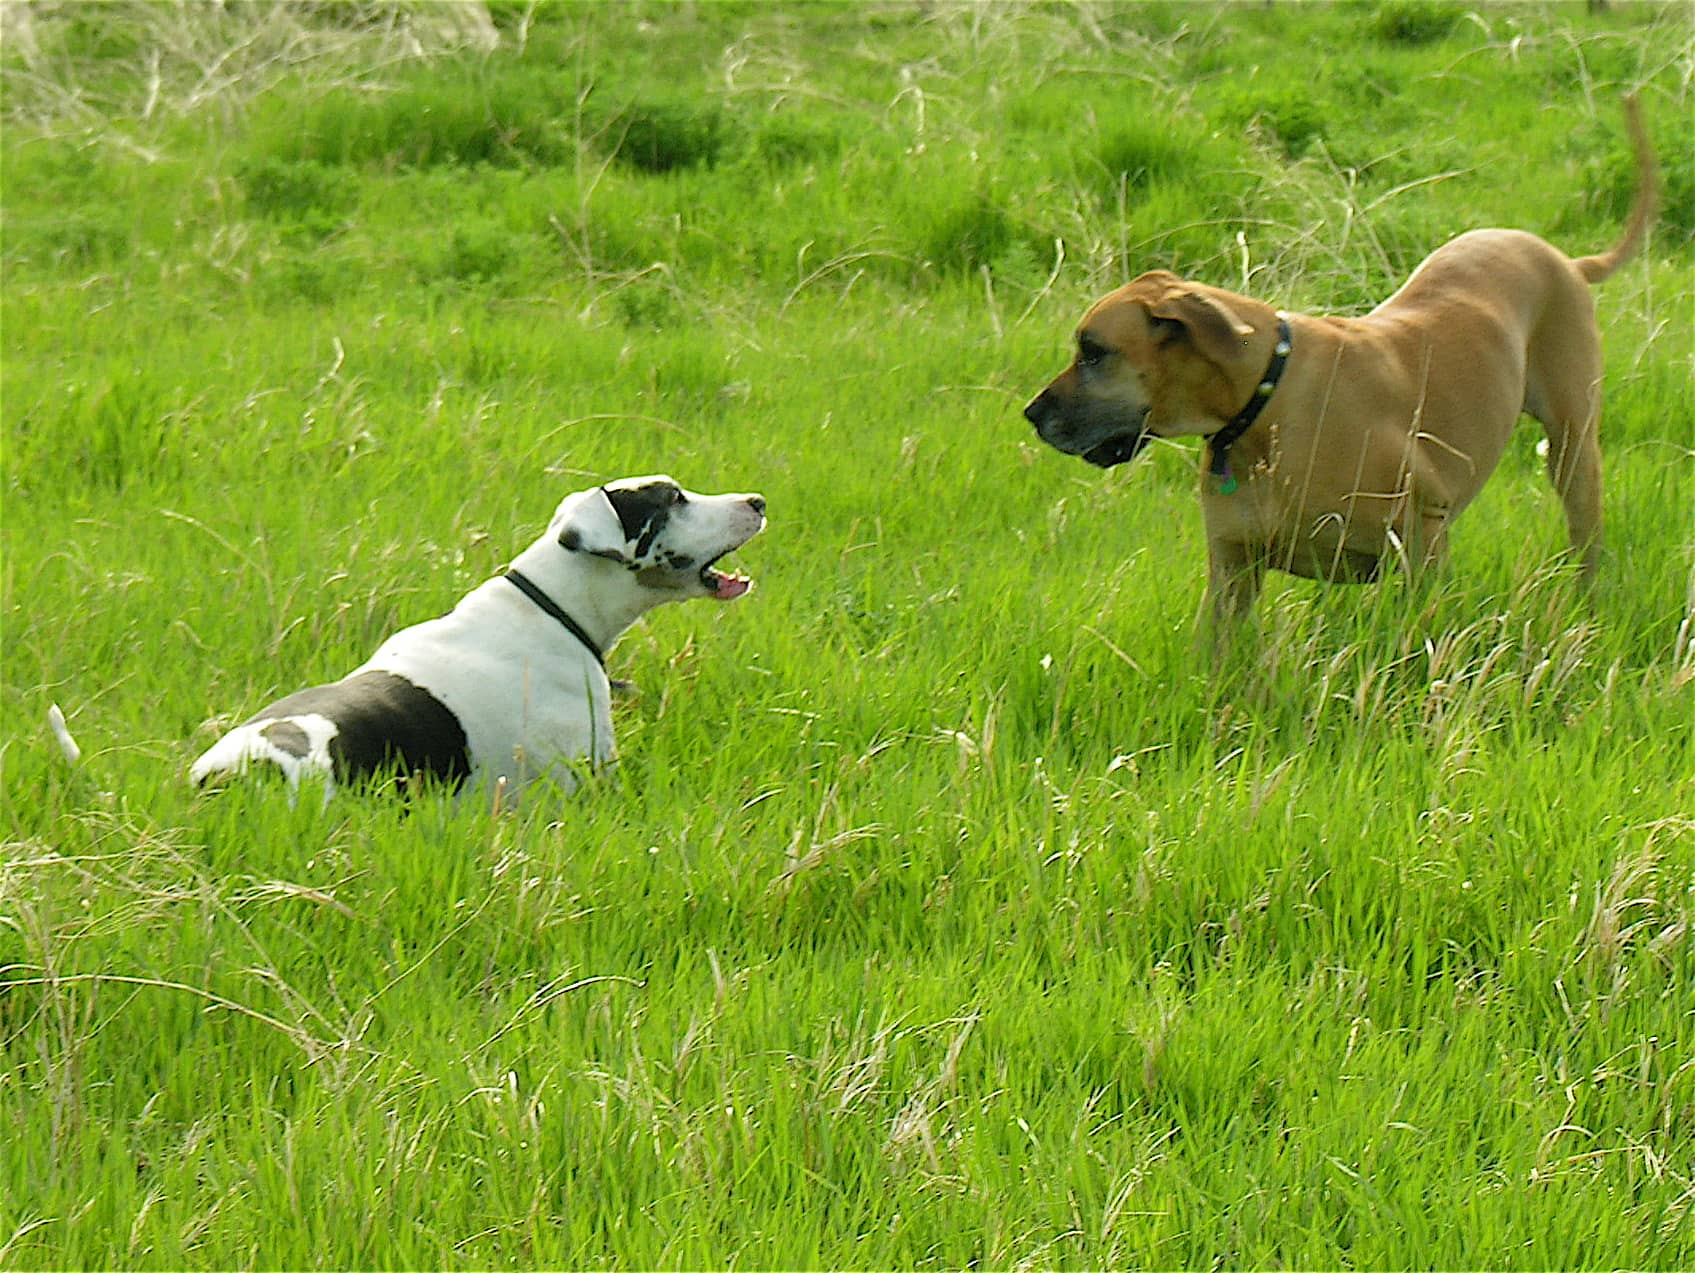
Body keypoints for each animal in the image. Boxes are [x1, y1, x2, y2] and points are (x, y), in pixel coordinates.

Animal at [1023, 100, 1661, 650]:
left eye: (1093, 351)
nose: (1030, 414)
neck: (1264, 405)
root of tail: (1564, 260)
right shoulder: (1231, 571)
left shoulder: (1422, 540)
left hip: (1574, 452)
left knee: (1585, 539)